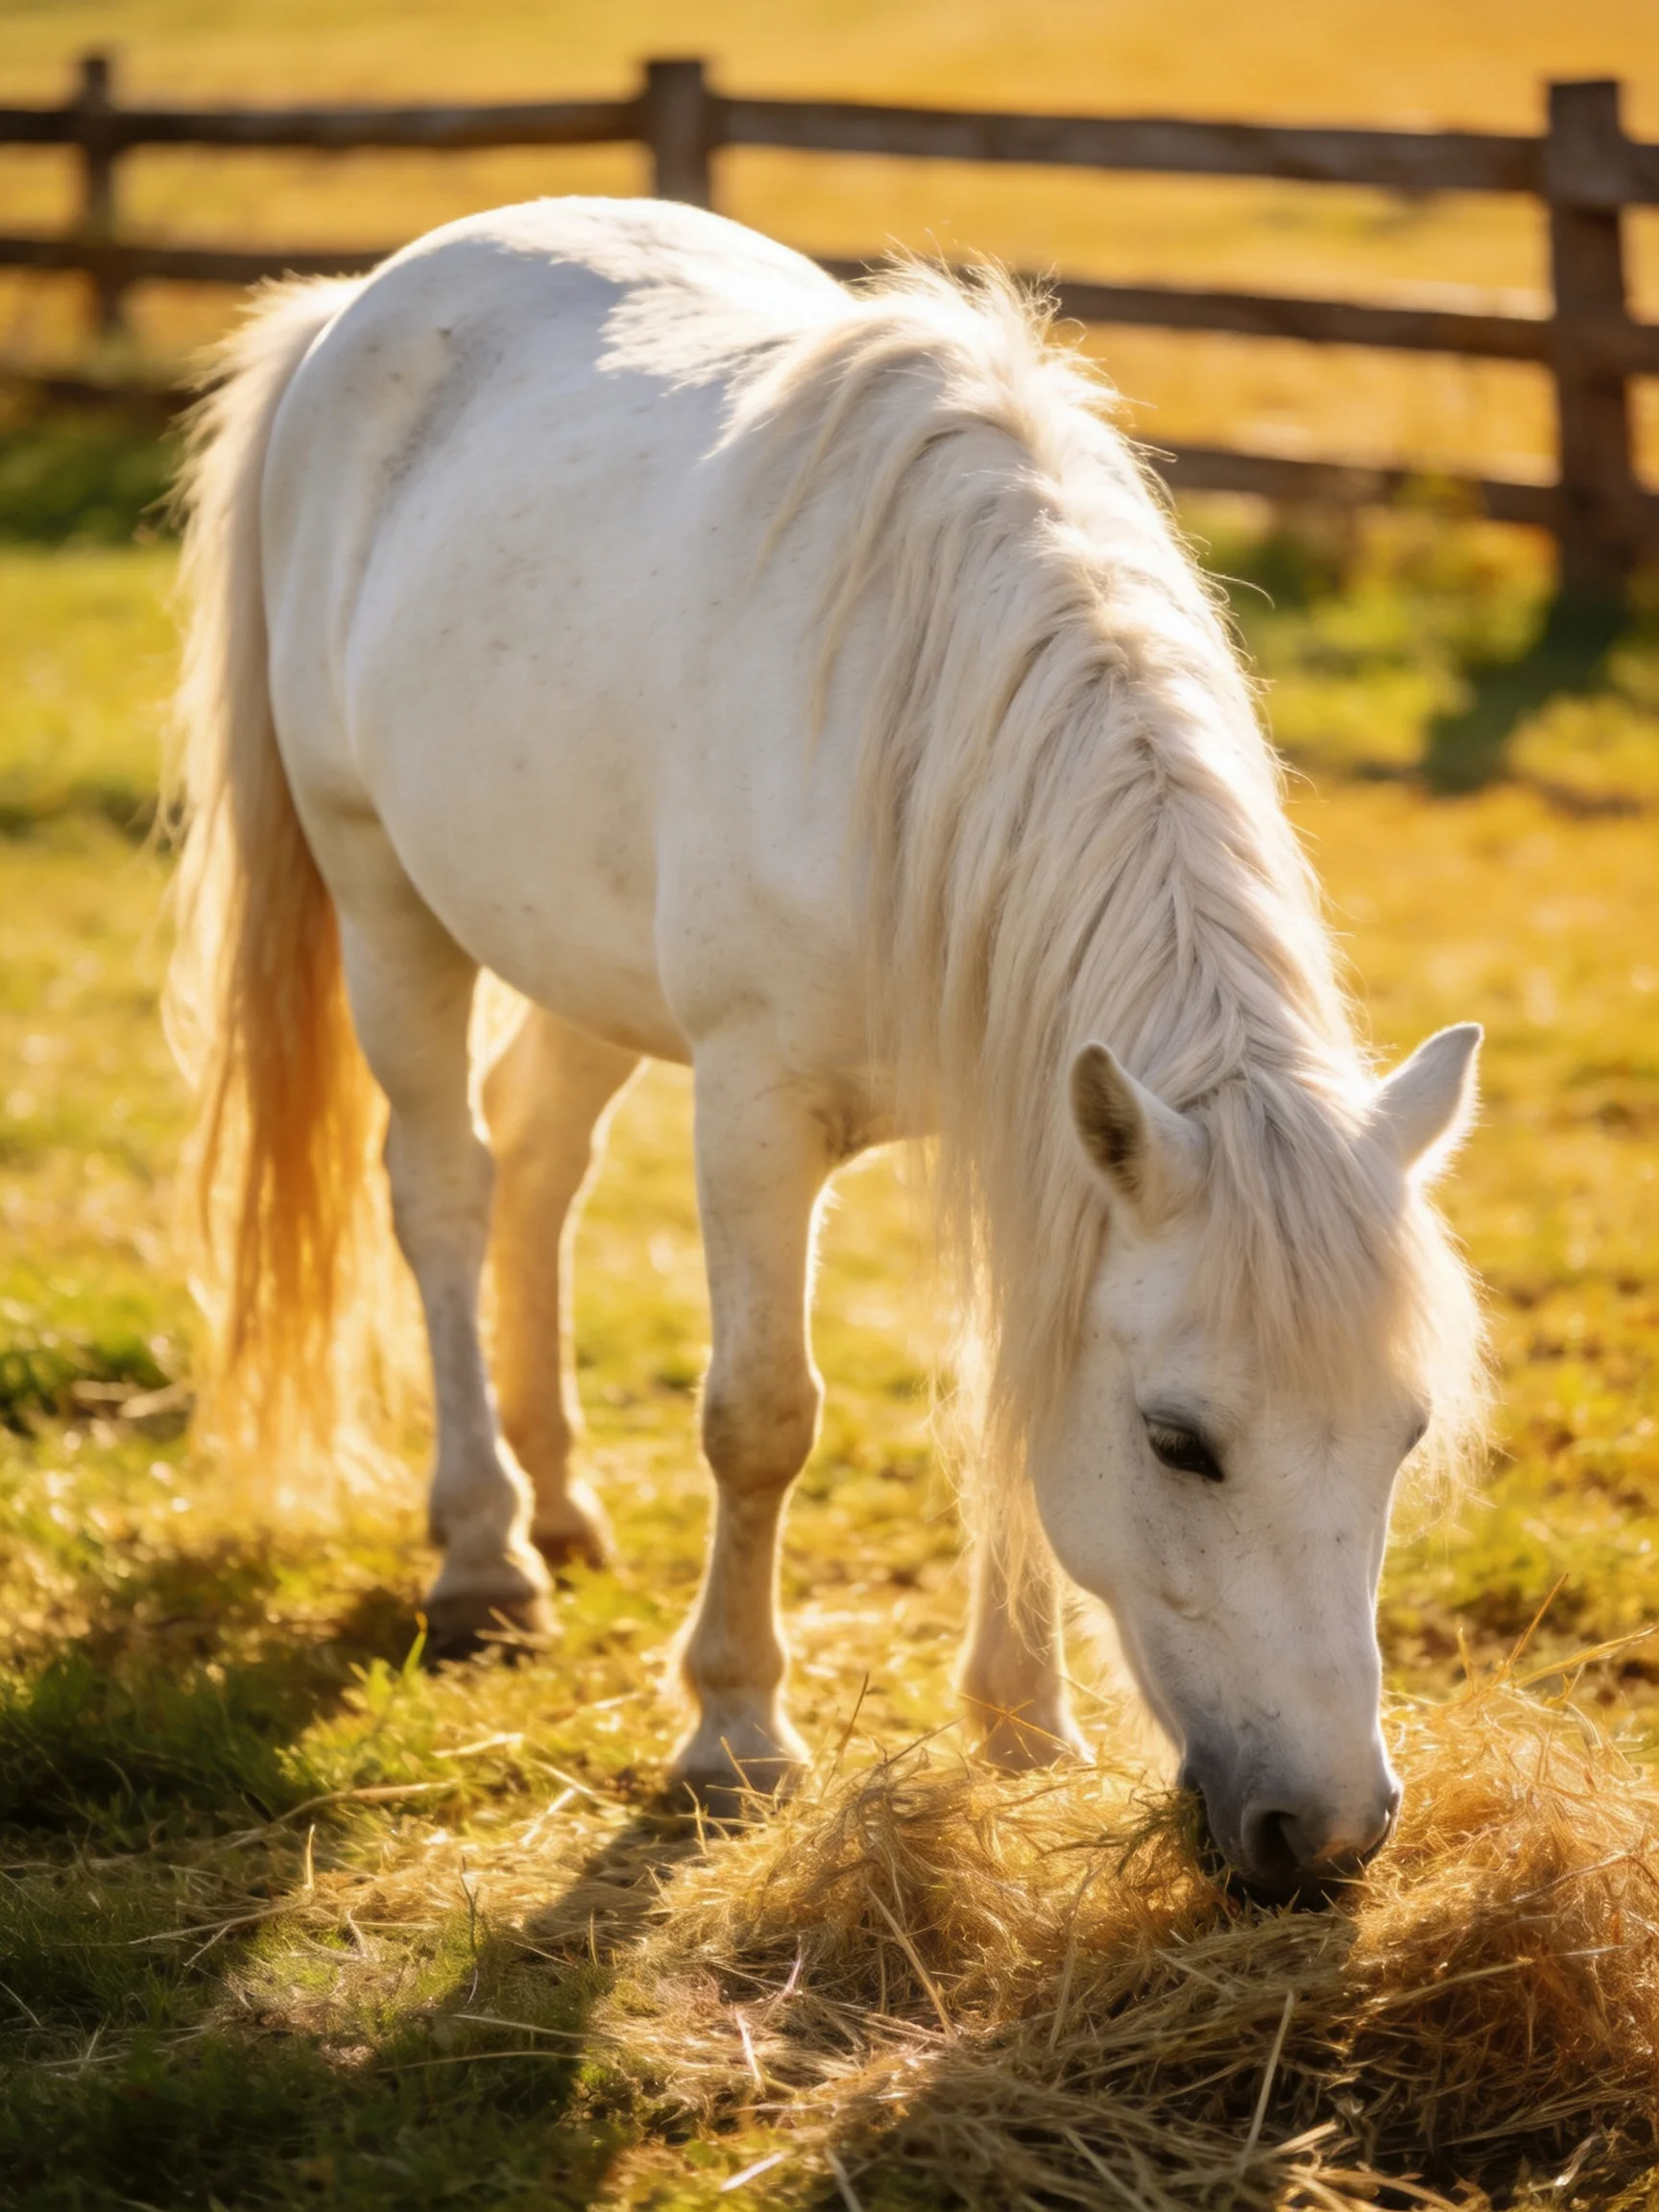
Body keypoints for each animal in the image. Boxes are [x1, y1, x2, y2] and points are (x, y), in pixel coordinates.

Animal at [168, 196, 1486, 1901]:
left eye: (1405, 1432)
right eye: (1179, 1441)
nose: (1322, 1837)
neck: (924, 725)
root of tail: (359, 303)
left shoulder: (1021, 1126)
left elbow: (1000, 1392)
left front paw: (1023, 1721)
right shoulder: (756, 1105)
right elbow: (760, 1418)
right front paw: (736, 1732)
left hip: (577, 954)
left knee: (538, 1164)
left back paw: (563, 1499)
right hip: (386, 902)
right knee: (443, 1189)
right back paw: (485, 1553)